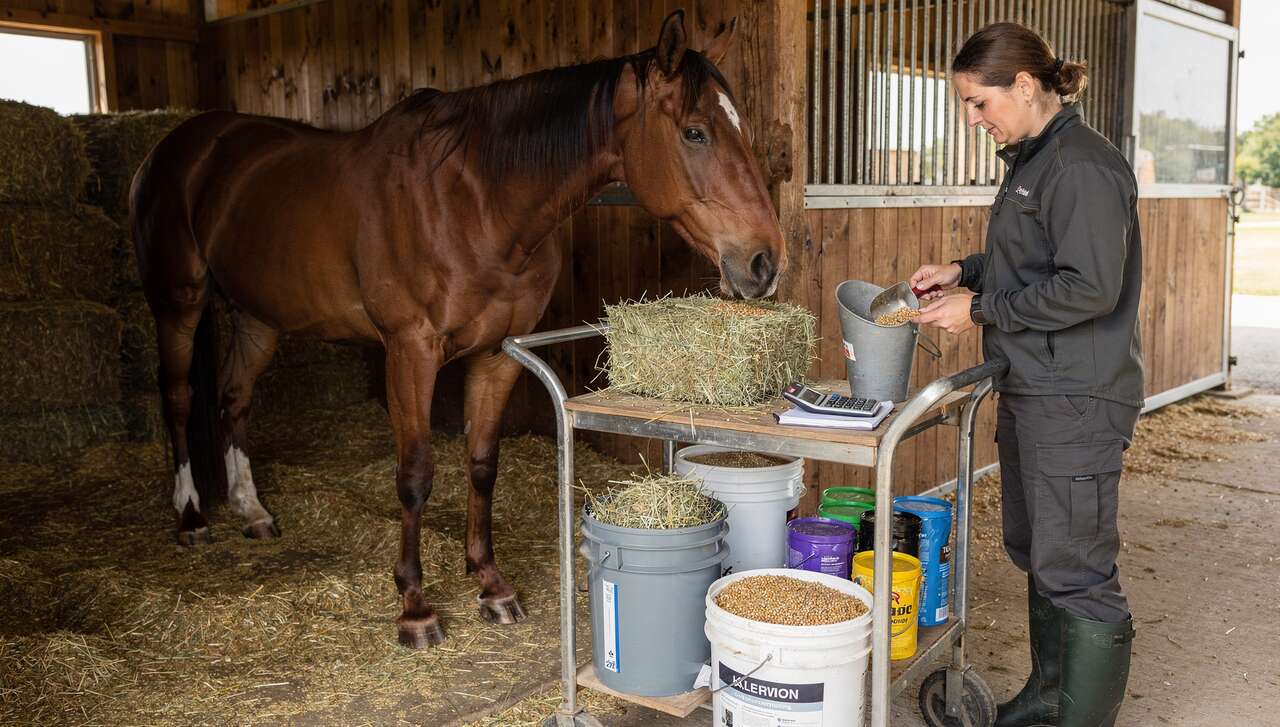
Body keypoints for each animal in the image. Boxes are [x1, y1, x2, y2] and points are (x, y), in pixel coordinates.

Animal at [130, 9, 786, 648]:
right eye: (695, 132)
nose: (764, 262)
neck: (475, 201)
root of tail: (178, 146)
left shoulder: (496, 355)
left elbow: (481, 463)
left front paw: (491, 584)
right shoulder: (409, 352)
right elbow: (415, 475)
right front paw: (415, 607)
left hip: (258, 316)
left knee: (234, 398)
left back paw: (252, 510)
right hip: (179, 303)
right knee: (180, 397)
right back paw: (191, 516)